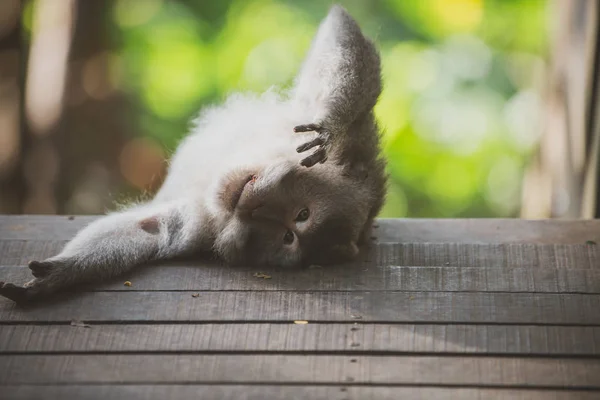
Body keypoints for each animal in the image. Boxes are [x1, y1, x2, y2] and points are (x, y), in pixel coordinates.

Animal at [0, 4, 386, 304]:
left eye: (289, 234)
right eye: (302, 215)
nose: (256, 208)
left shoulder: (209, 231)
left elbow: (154, 229)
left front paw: (65, 273)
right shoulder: (351, 145)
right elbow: (342, 34)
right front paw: (330, 124)